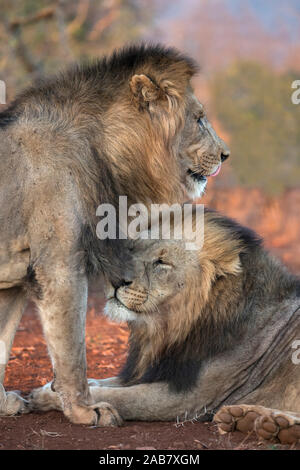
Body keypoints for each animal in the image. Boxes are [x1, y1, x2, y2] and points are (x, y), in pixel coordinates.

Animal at [0, 45, 230, 426]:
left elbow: (2, 341)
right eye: (198, 119)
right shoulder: (59, 267)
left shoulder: (14, 279)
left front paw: (4, 404)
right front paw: (85, 411)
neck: (103, 151)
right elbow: (72, 351)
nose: (226, 154)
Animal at [31, 209, 300, 444]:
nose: (115, 279)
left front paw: (45, 395)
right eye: (132, 251)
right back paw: (253, 419)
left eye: (161, 262)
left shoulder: (192, 397)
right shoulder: (155, 370)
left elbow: (116, 396)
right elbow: (101, 383)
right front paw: (56, 386)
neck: (169, 328)